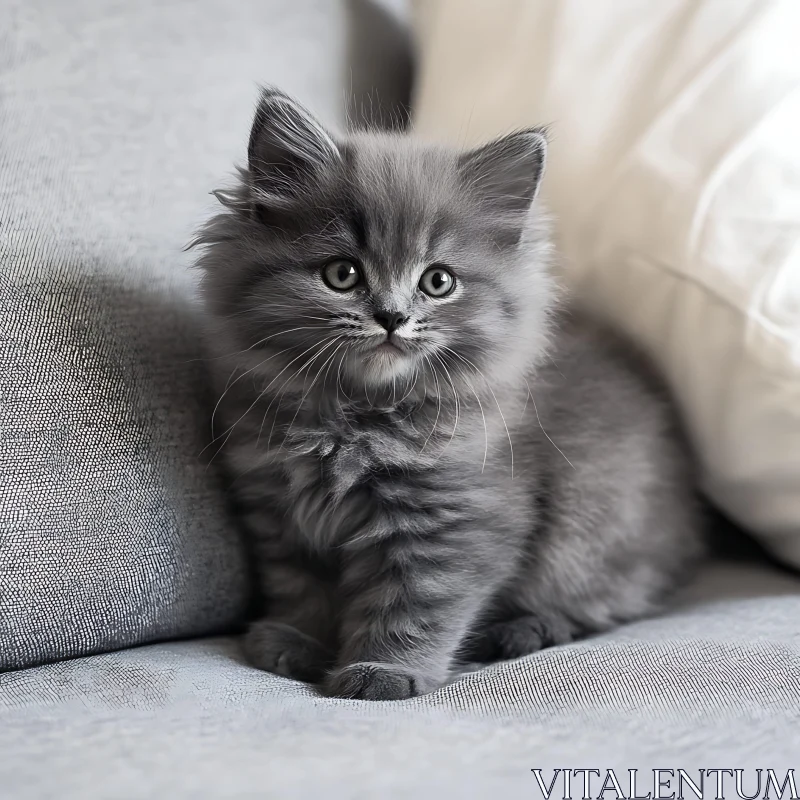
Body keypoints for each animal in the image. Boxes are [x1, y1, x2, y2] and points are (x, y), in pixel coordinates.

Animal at [195, 86, 708, 700]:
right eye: (342, 274)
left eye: (438, 281)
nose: (392, 317)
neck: (352, 417)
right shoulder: (279, 512)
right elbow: (300, 587)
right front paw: (296, 641)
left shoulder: (454, 520)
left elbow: (416, 603)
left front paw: (385, 671)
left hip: (593, 528)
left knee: (605, 601)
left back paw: (524, 631)